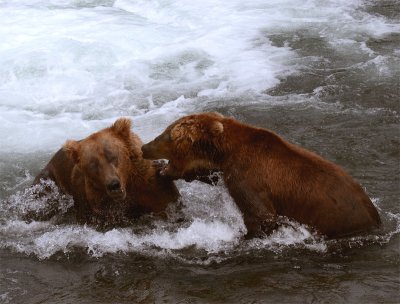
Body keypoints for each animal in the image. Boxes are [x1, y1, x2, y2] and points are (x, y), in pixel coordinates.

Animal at [141, 113, 382, 239]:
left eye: (167, 135)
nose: (144, 147)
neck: (226, 152)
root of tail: (375, 217)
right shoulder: (225, 170)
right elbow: (208, 174)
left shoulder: (248, 177)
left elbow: (260, 215)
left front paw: (244, 236)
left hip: (337, 218)